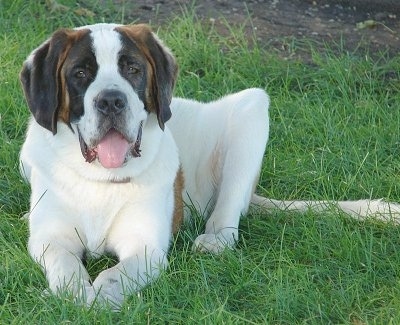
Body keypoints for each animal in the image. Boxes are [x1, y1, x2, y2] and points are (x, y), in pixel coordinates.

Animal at [19, 22, 400, 306]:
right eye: (80, 73)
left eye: (132, 69)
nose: (111, 100)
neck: (101, 180)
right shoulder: (51, 240)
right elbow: (65, 265)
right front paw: (73, 294)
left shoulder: (146, 248)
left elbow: (115, 274)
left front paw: (100, 298)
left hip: (251, 111)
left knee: (228, 211)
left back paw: (215, 239)